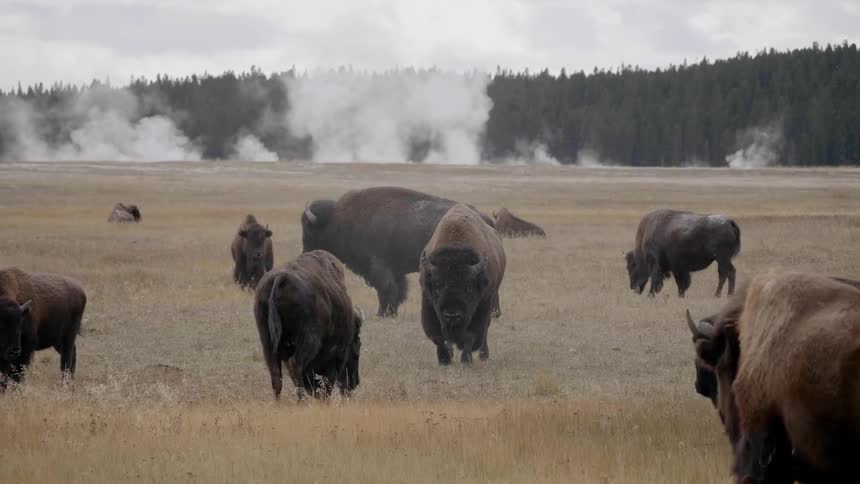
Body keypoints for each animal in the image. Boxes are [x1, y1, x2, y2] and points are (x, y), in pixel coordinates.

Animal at [253, 250, 363, 400]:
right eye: (356, 349)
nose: (354, 383)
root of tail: (280, 278)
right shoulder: (335, 356)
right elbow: (327, 383)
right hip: (308, 340)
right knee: (295, 365)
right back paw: (302, 400)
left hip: (267, 341)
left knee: (276, 374)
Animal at [301, 186, 495, 317]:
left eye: (308, 228)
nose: (305, 252)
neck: (339, 219)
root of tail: (485, 218)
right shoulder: (395, 271)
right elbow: (398, 290)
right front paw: (391, 312)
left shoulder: (379, 267)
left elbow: (386, 289)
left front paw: (383, 313)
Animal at [419, 204, 505, 365]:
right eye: (437, 286)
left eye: (468, 288)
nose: (452, 315)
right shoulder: (428, 302)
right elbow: (438, 336)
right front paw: (444, 359)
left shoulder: (483, 304)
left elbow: (471, 335)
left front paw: (466, 360)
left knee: (485, 329)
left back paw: (483, 354)